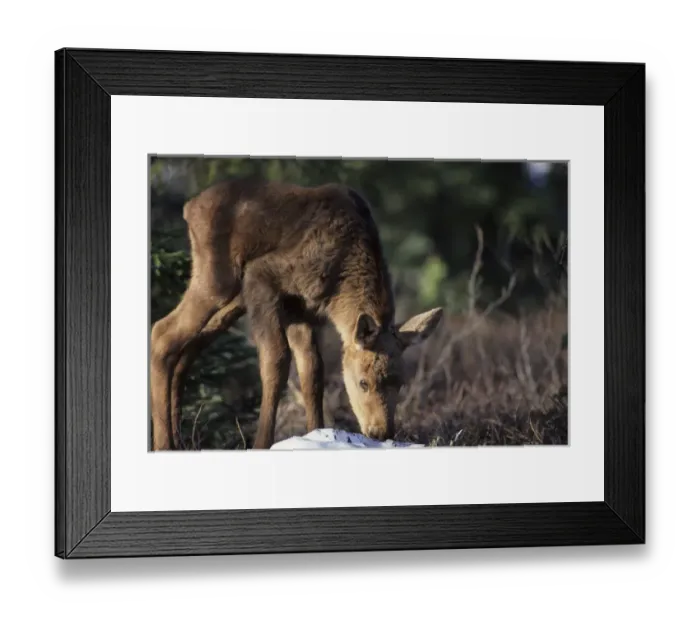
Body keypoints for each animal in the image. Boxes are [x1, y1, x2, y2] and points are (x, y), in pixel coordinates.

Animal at [150, 177, 444, 451]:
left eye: (400, 382)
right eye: (363, 382)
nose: (381, 432)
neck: (340, 287)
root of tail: (189, 207)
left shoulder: (301, 309)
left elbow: (312, 370)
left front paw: (317, 433)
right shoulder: (263, 277)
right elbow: (277, 360)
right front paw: (262, 443)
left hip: (233, 302)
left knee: (185, 351)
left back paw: (178, 439)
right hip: (219, 281)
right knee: (162, 332)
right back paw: (164, 443)